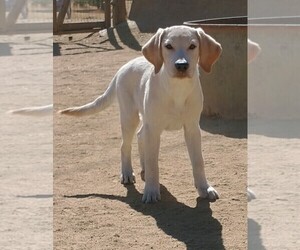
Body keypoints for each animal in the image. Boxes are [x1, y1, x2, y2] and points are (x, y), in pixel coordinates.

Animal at [59, 25, 221, 203]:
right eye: (168, 46)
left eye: (192, 46)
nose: (181, 65)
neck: (177, 90)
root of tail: (123, 68)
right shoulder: (154, 128)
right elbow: (153, 162)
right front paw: (151, 190)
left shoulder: (192, 128)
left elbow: (198, 161)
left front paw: (204, 188)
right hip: (130, 117)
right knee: (125, 145)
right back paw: (127, 173)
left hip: (145, 122)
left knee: (140, 136)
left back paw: (142, 168)